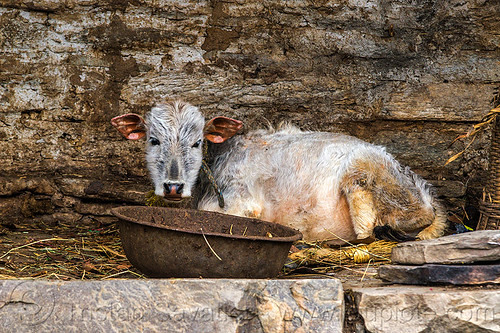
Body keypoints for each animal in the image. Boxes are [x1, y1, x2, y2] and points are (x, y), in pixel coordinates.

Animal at [112, 100, 446, 243]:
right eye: (153, 140)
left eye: (197, 143)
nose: (173, 186)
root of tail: (429, 200)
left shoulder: (242, 205)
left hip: (362, 173)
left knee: (368, 231)